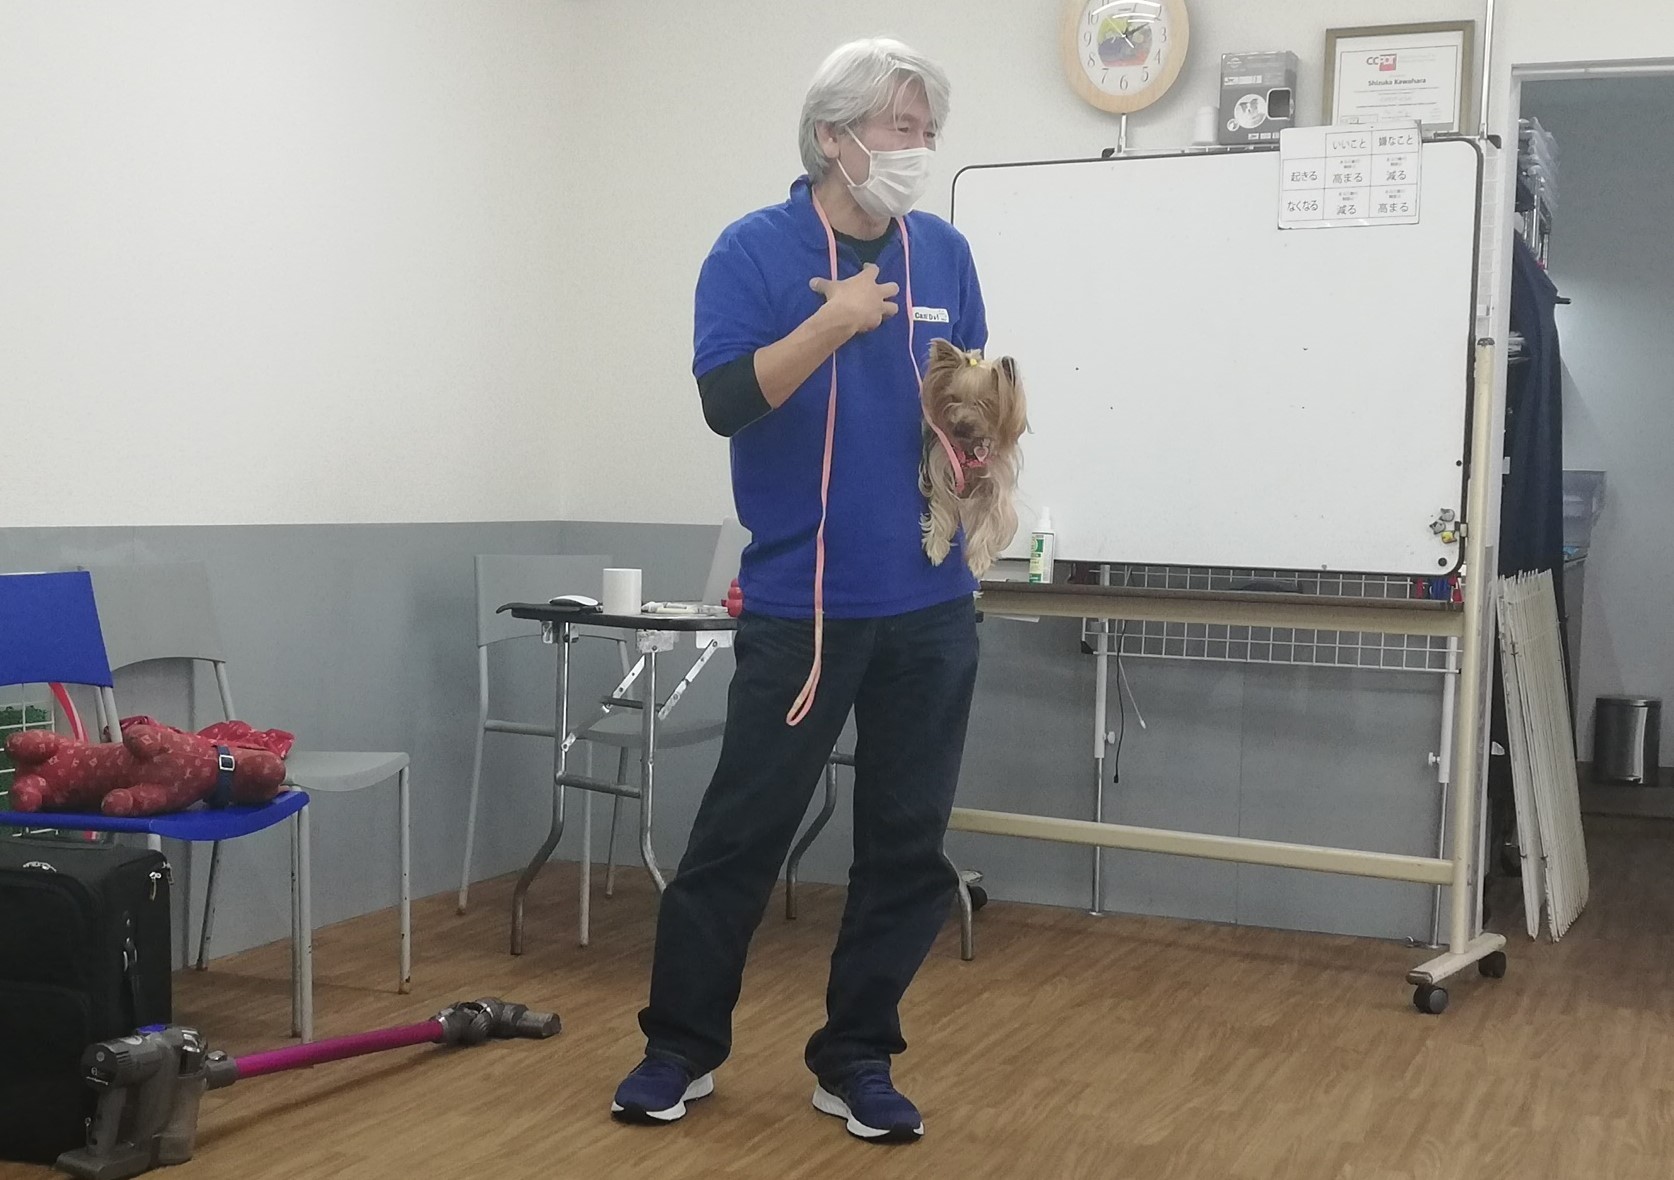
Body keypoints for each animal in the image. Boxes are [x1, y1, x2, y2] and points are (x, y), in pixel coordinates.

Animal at [918, 337, 1028, 578]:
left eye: (984, 403)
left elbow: (992, 522)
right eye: (953, 398)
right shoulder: (942, 467)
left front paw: (978, 562)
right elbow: (942, 507)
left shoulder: (996, 488)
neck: (970, 449)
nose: (960, 427)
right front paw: (937, 548)